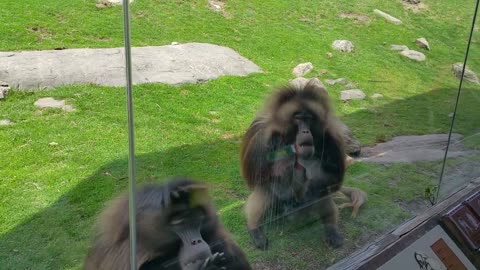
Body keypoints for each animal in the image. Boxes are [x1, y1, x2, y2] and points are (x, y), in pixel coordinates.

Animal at [240, 79, 368, 250]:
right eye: (298, 118)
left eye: (309, 118)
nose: (306, 132)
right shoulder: (261, 131)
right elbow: (255, 171)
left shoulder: (332, 135)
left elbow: (334, 178)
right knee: (265, 187)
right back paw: (255, 229)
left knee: (322, 190)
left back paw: (331, 231)